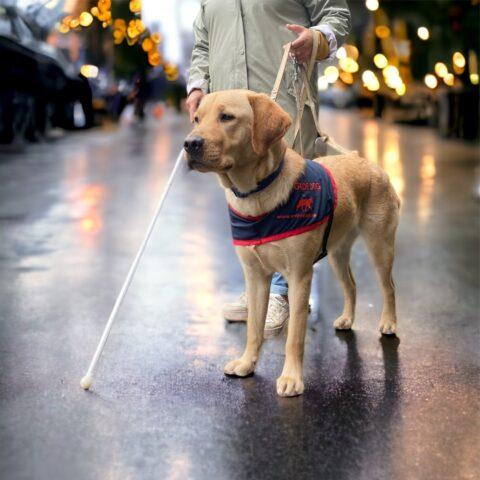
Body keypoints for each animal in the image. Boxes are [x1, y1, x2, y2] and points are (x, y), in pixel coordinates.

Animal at [182, 90, 400, 398]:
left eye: (227, 117)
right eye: (197, 119)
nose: (190, 143)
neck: (256, 194)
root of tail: (366, 162)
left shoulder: (299, 276)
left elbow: (294, 336)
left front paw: (292, 378)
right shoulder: (256, 277)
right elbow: (253, 328)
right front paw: (247, 363)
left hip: (380, 245)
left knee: (389, 286)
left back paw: (389, 321)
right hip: (337, 253)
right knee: (352, 286)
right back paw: (347, 319)